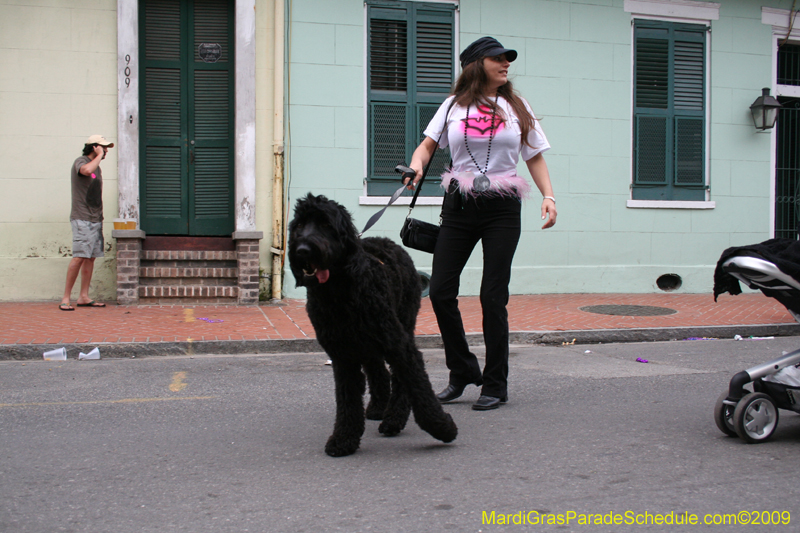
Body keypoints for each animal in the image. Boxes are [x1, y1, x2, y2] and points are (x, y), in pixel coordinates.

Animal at [290, 193, 460, 456]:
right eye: (299, 225)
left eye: (326, 225)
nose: (302, 250)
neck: (339, 295)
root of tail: (390, 242)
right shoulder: (342, 356)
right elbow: (347, 400)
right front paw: (343, 439)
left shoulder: (399, 346)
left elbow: (418, 386)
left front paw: (442, 427)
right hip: (368, 342)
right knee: (379, 372)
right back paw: (380, 408)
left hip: (400, 326)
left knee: (399, 379)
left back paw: (393, 419)